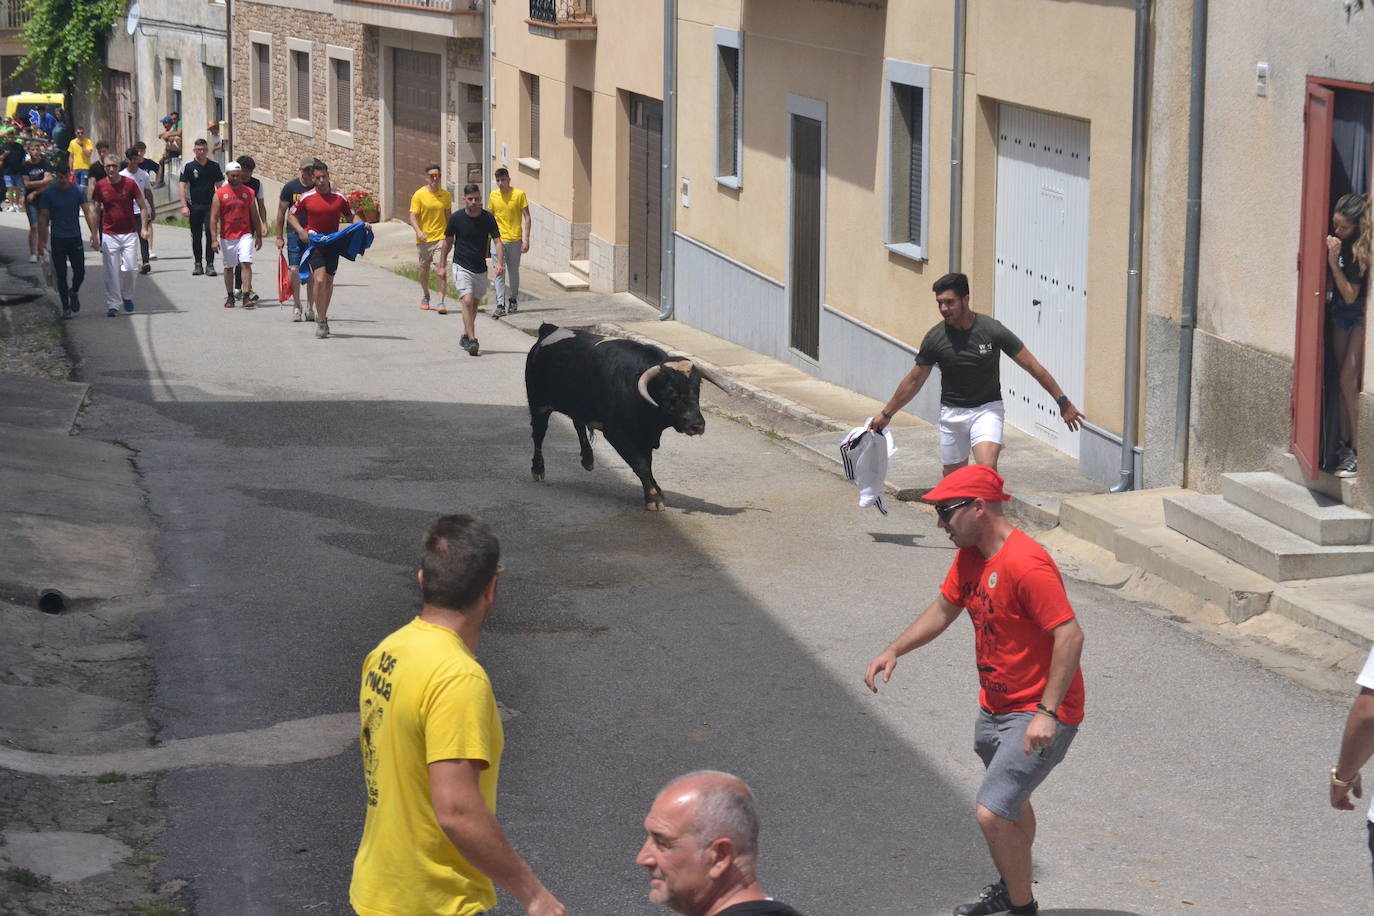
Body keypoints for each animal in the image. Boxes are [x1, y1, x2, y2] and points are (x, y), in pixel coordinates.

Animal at [522, 322, 725, 508]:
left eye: (697, 389)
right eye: (671, 391)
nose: (697, 425)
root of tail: (549, 329)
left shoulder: (645, 434)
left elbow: (647, 462)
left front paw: (656, 490)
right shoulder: (616, 433)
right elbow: (640, 462)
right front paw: (653, 497)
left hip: (578, 404)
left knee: (578, 424)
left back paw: (588, 459)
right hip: (538, 404)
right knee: (539, 434)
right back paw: (538, 469)